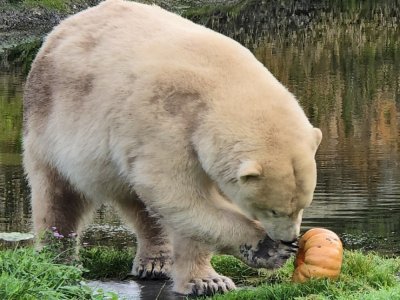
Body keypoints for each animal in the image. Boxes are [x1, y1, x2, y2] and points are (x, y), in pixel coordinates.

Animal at [22, 0, 322, 296]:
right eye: (274, 211)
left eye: (302, 205)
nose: (289, 238)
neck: (223, 81)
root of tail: (60, 29)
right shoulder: (166, 123)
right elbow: (178, 194)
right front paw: (265, 250)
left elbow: (184, 207)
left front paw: (209, 281)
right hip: (51, 125)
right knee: (57, 195)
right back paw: (57, 261)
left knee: (142, 206)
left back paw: (155, 263)